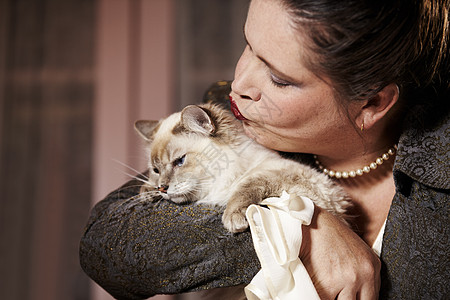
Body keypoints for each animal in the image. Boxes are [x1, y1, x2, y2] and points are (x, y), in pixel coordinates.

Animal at [135, 103, 350, 232]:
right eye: (156, 170)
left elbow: (246, 187)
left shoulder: (286, 176)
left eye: (179, 161)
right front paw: (146, 192)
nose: (163, 188)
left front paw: (233, 220)